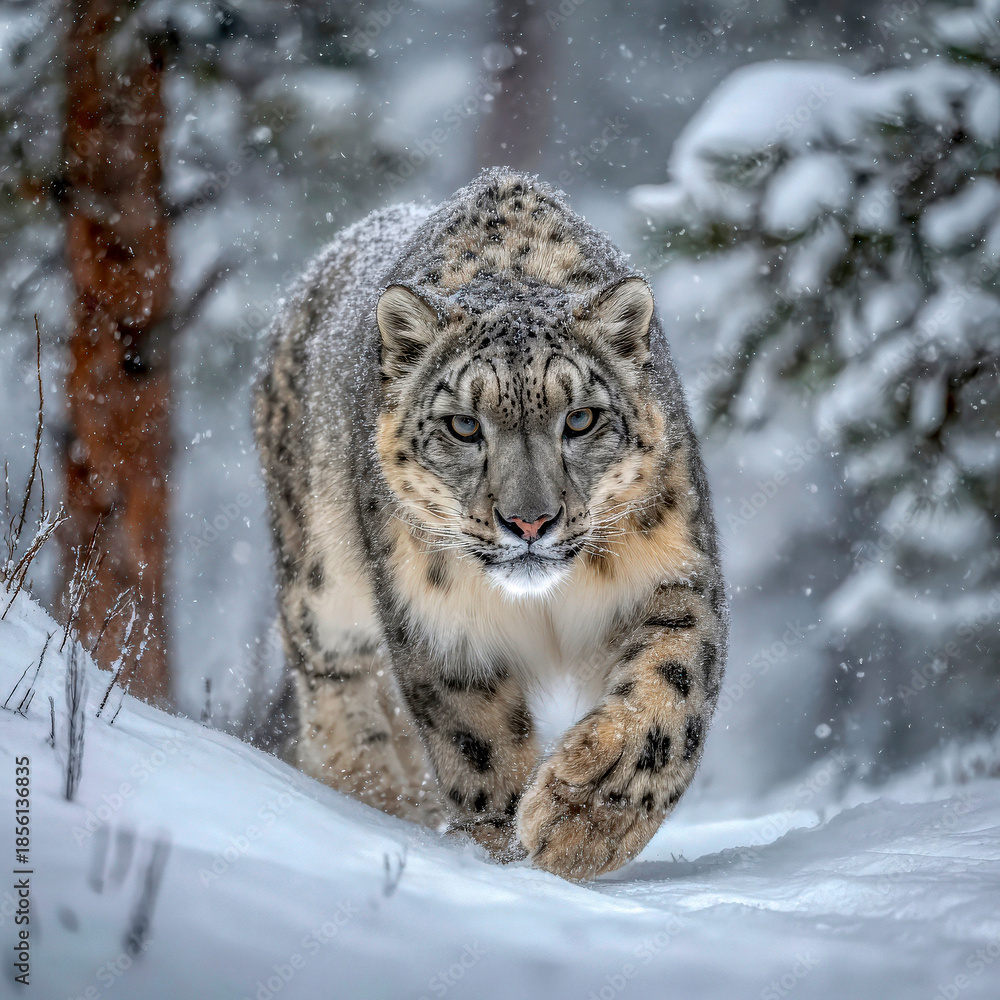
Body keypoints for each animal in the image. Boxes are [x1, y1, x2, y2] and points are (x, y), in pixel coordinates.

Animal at [253, 167, 728, 880]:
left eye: (580, 418)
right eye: (464, 425)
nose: (528, 521)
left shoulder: (673, 570)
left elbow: (672, 688)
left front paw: (581, 820)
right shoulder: (440, 619)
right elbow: (479, 742)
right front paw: (510, 856)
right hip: (320, 575)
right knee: (326, 665)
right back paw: (372, 788)